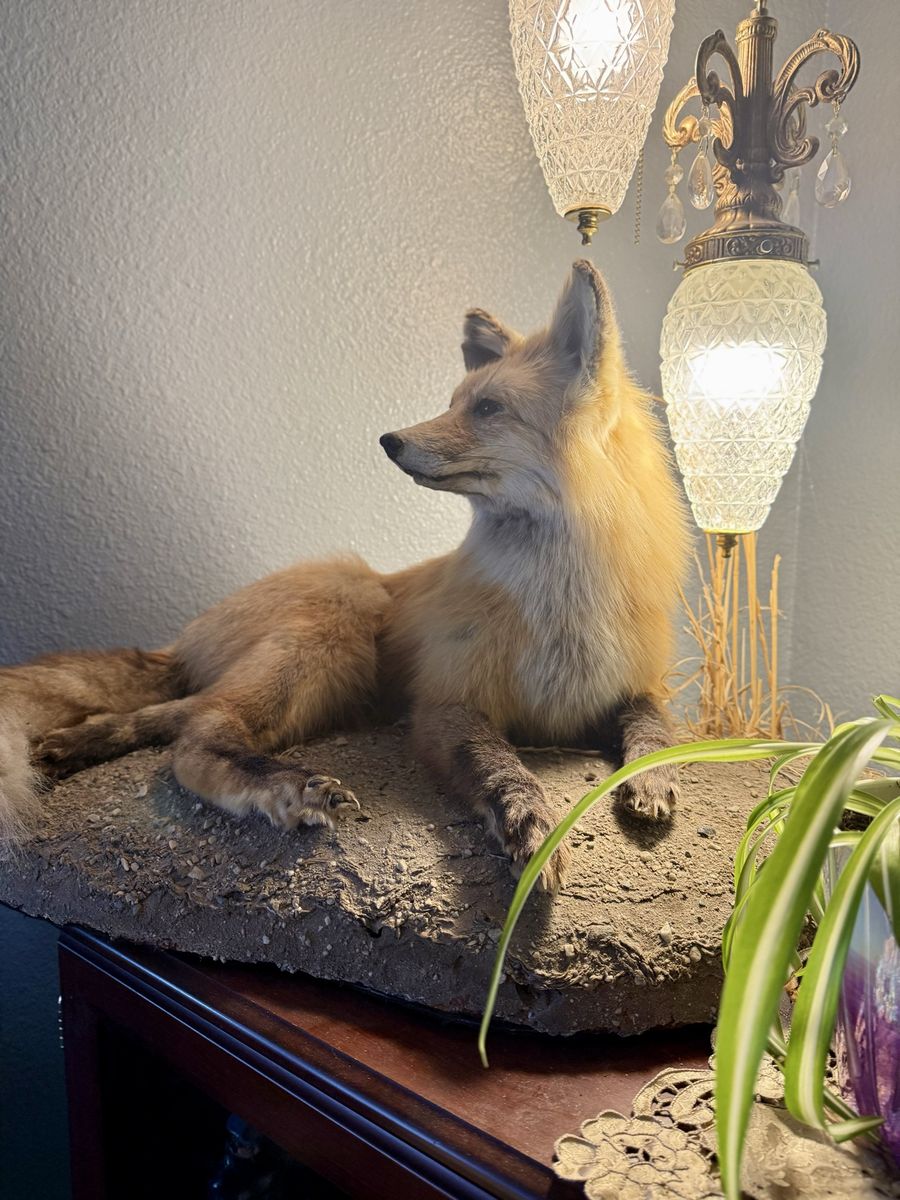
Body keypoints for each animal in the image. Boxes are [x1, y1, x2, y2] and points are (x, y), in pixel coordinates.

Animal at [0, 260, 689, 888]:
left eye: (490, 408)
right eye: (453, 404)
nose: (389, 440)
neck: (559, 604)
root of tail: (191, 633)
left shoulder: (632, 685)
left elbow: (658, 729)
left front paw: (652, 778)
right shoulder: (445, 702)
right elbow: (499, 764)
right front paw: (530, 822)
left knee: (176, 714)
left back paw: (80, 740)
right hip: (337, 628)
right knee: (194, 738)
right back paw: (285, 787)